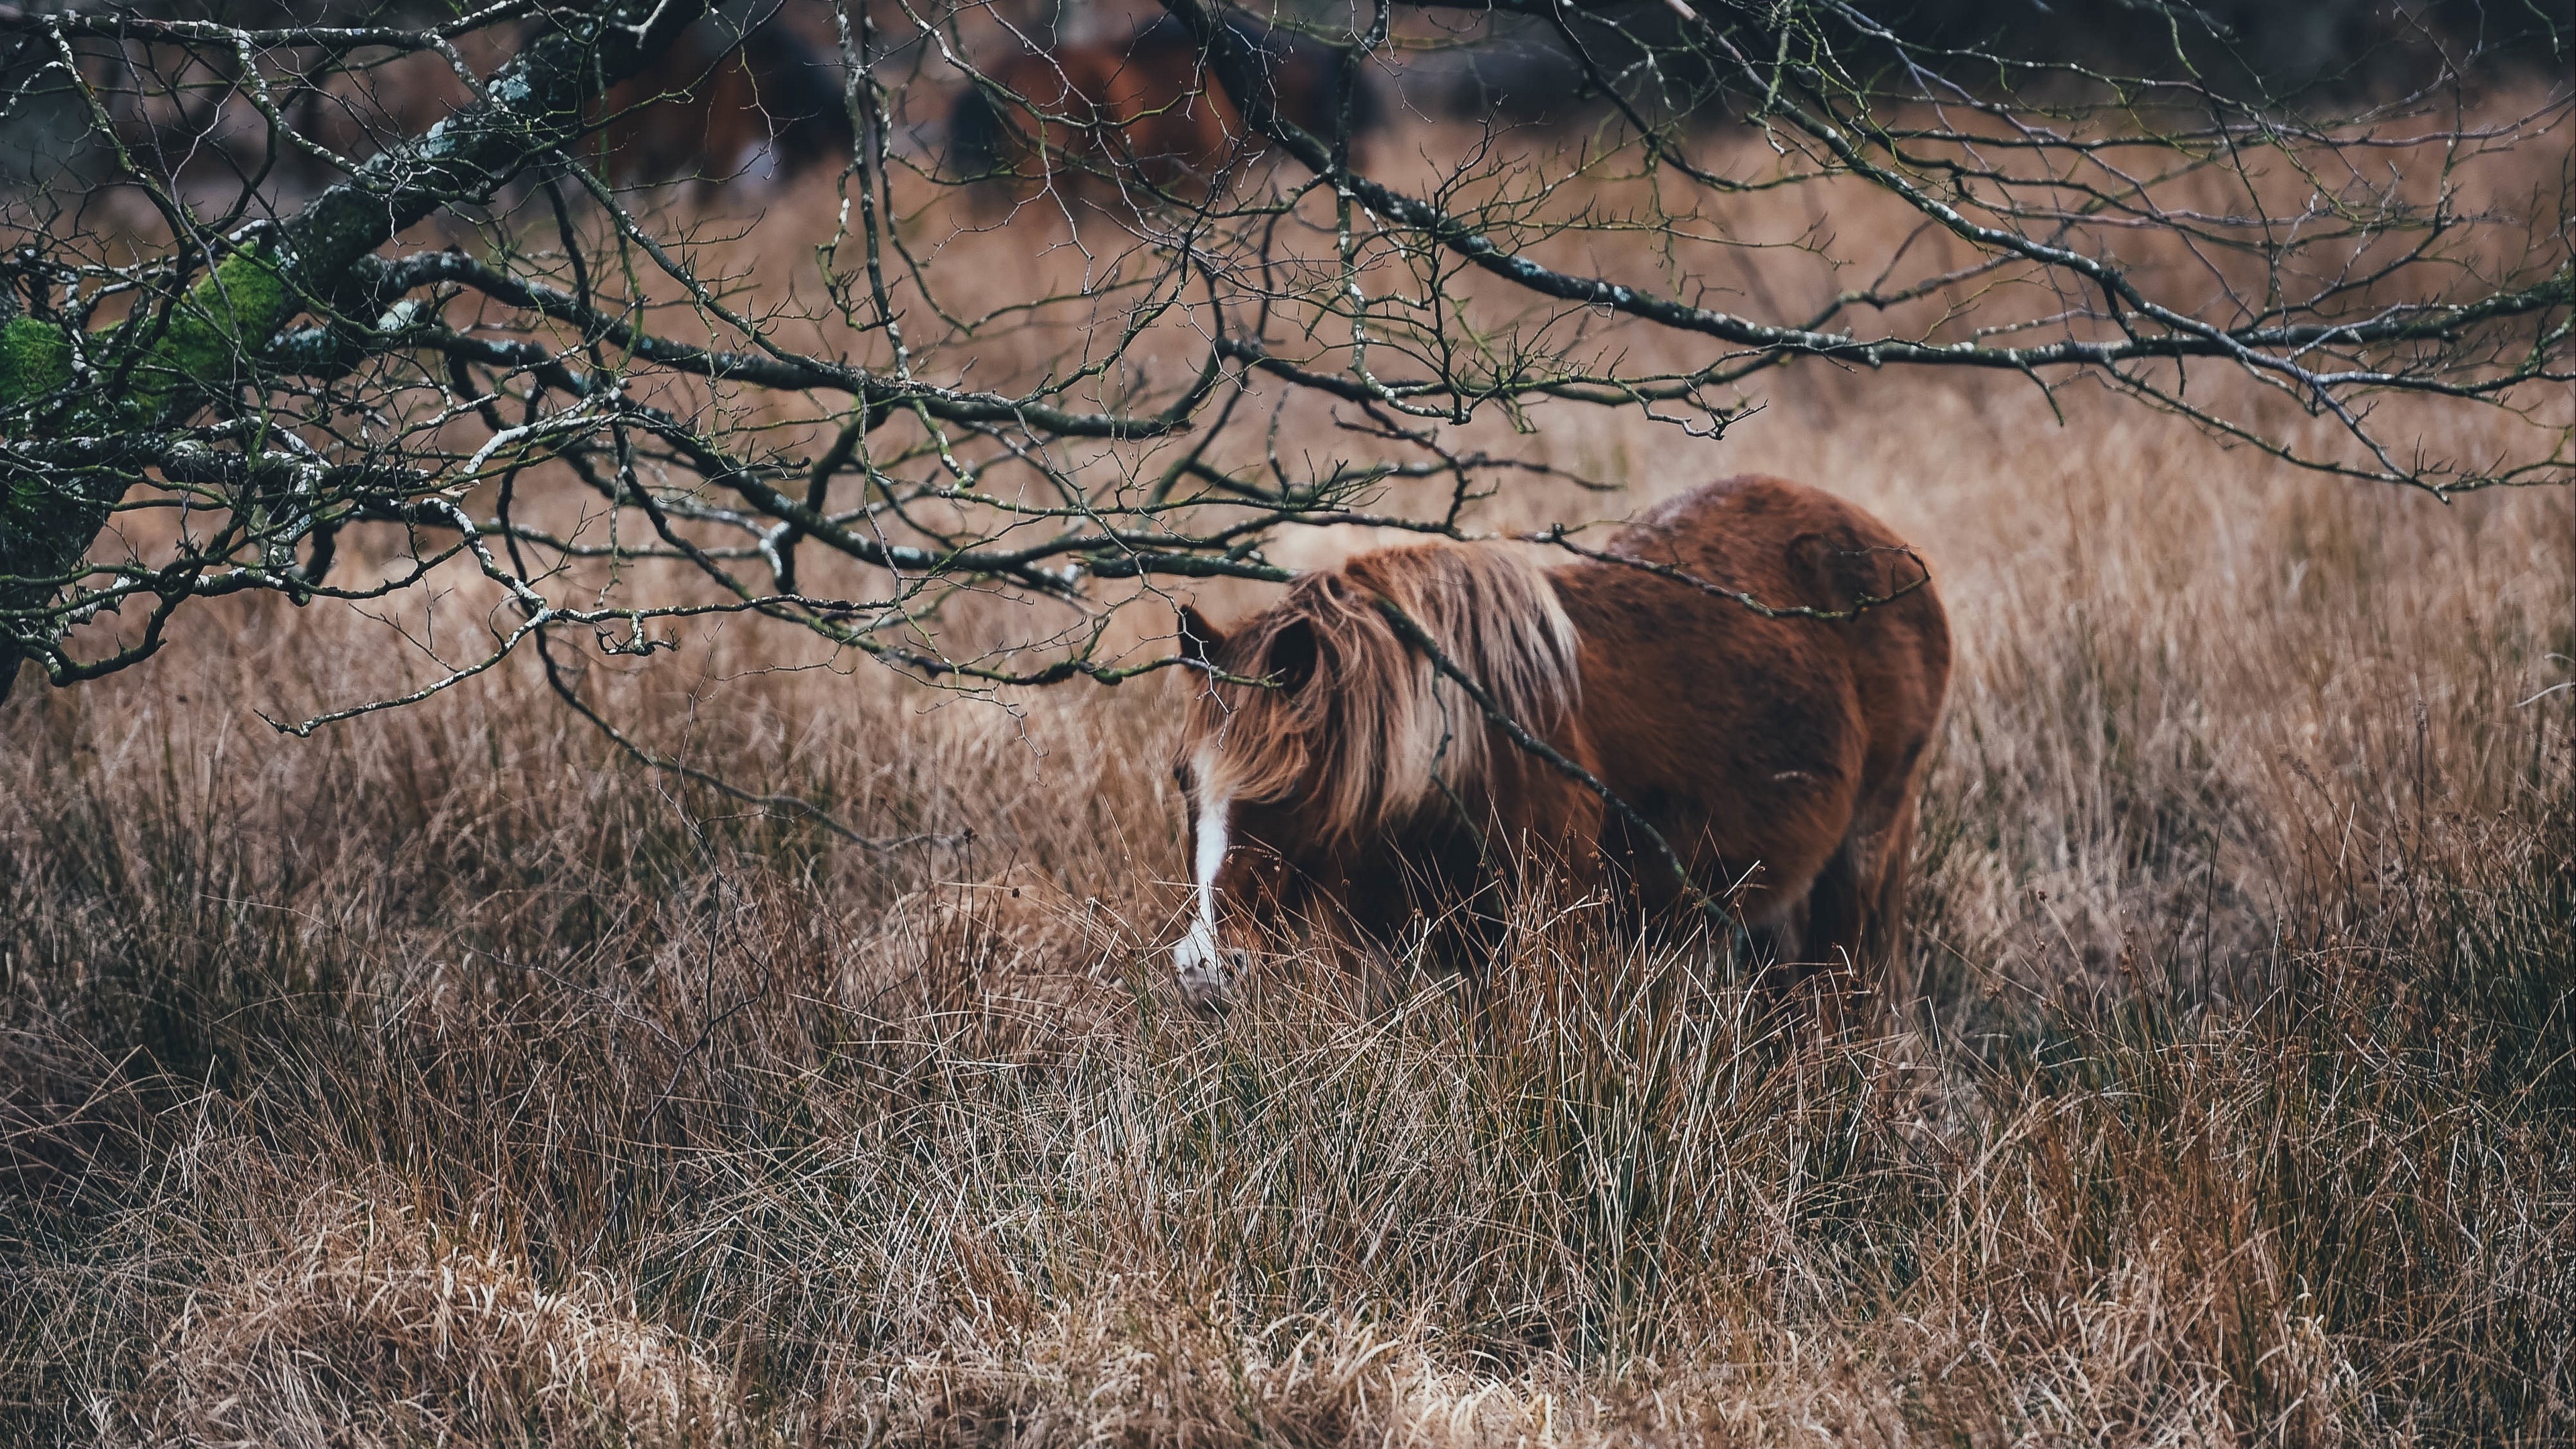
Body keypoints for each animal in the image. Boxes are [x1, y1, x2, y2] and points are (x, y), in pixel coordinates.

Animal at [1168, 475, 1952, 1015]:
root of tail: (1897, 558)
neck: (1458, 757)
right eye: (1182, 779)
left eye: (1287, 789)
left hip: (1865, 851)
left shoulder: (1551, 943)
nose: (1206, 969)